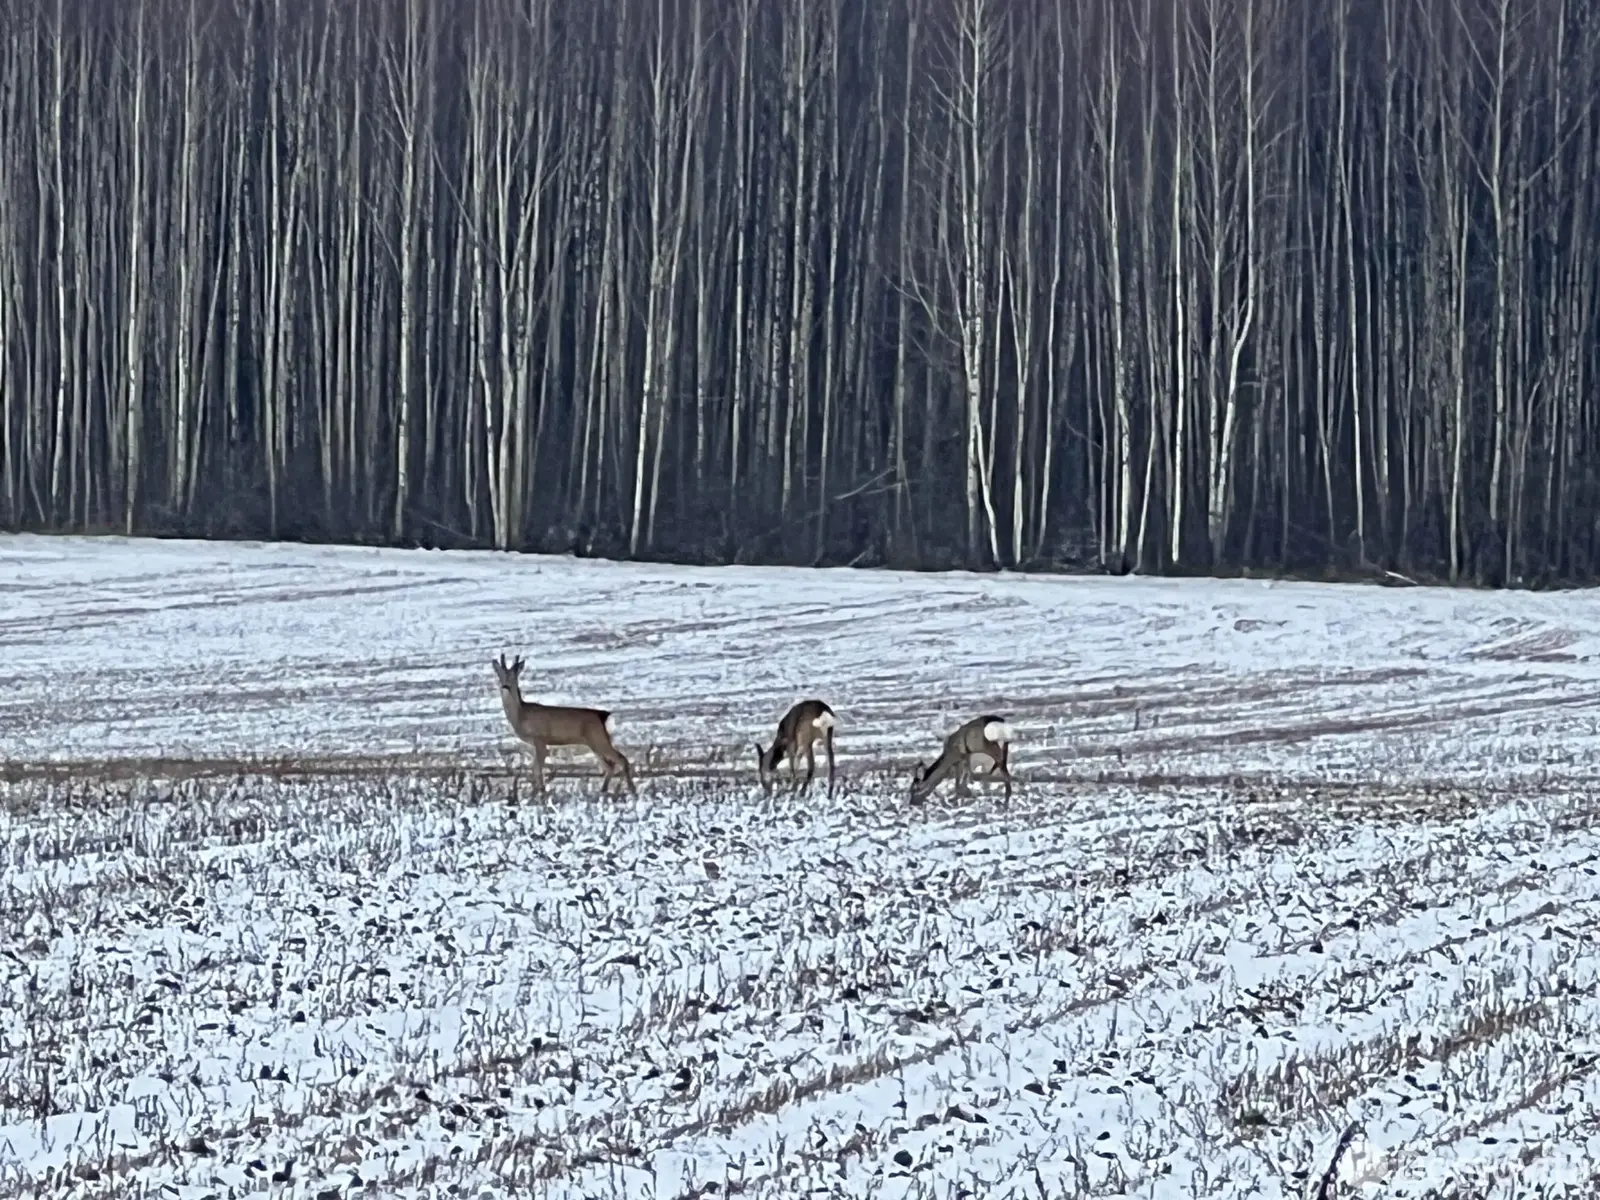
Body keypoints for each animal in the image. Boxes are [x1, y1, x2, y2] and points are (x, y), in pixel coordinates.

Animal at [489, 652, 633, 793]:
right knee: (610, 766)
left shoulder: (540, 738)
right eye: (500, 675)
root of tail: (603, 715)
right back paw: (603, 790)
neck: (521, 715)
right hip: (594, 743)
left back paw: (632, 791)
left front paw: (540, 792)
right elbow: (535, 768)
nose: (505, 686)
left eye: (514, 676)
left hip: (598, 738)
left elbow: (537, 769)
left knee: (622, 759)